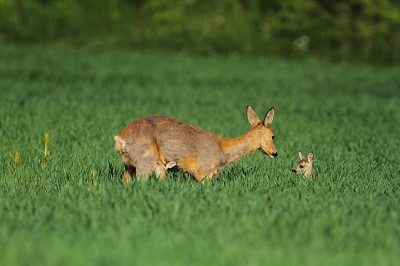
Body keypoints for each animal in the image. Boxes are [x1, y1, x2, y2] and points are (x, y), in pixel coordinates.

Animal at [115, 106, 278, 183]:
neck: (223, 151)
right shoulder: (204, 172)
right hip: (145, 159)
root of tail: (119, 138)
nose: (275, 153)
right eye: (273, 136)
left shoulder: (195, 175)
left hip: (130, 165)